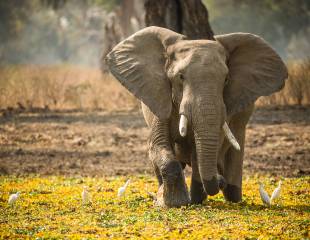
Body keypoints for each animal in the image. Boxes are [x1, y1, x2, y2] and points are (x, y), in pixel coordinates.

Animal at [104, 25, 288, 206]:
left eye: (226, 79)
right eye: (180, 77)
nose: (220, 181)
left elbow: (199, 152)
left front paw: (191, 201)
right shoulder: (159, 95)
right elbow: (158, 143)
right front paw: (173, 203)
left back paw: (228, 196)